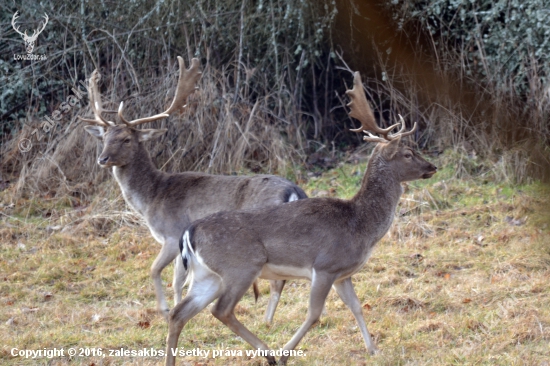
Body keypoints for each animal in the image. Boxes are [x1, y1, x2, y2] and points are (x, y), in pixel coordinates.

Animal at [81, 55, 310, 322]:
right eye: (104, 138)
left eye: (127, 139)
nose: (102, 159)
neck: (152, 197)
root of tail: (293, 191)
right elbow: (179, 278)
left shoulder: (172, 233)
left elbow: (161, 273)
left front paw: (165, 310)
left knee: (278, 280)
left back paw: (266, 321)